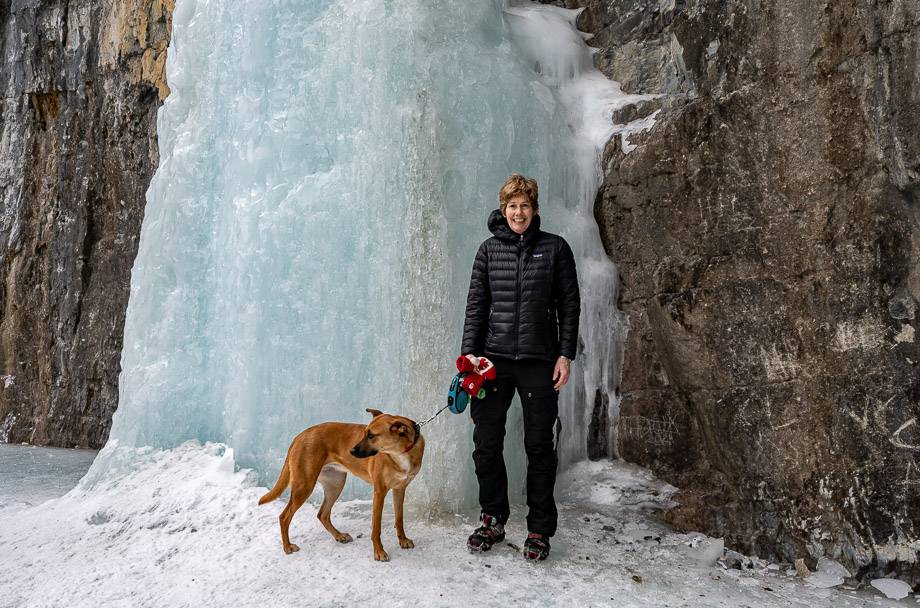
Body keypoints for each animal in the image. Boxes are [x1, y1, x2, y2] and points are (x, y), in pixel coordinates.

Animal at [258, 408, 424, 560]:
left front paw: (403, 540)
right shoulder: (379, 492)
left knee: (322, 514)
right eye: (365, 433)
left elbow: (399, 519)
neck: (400, 452)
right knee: (284, 516)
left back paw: (339, 536)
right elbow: (376, 528)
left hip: (335, 485)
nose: (351, 451)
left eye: (371, 436)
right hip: (304, 485)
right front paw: (379, 552)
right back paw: (287, 547)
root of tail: (299, 436)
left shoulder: (400, 489)